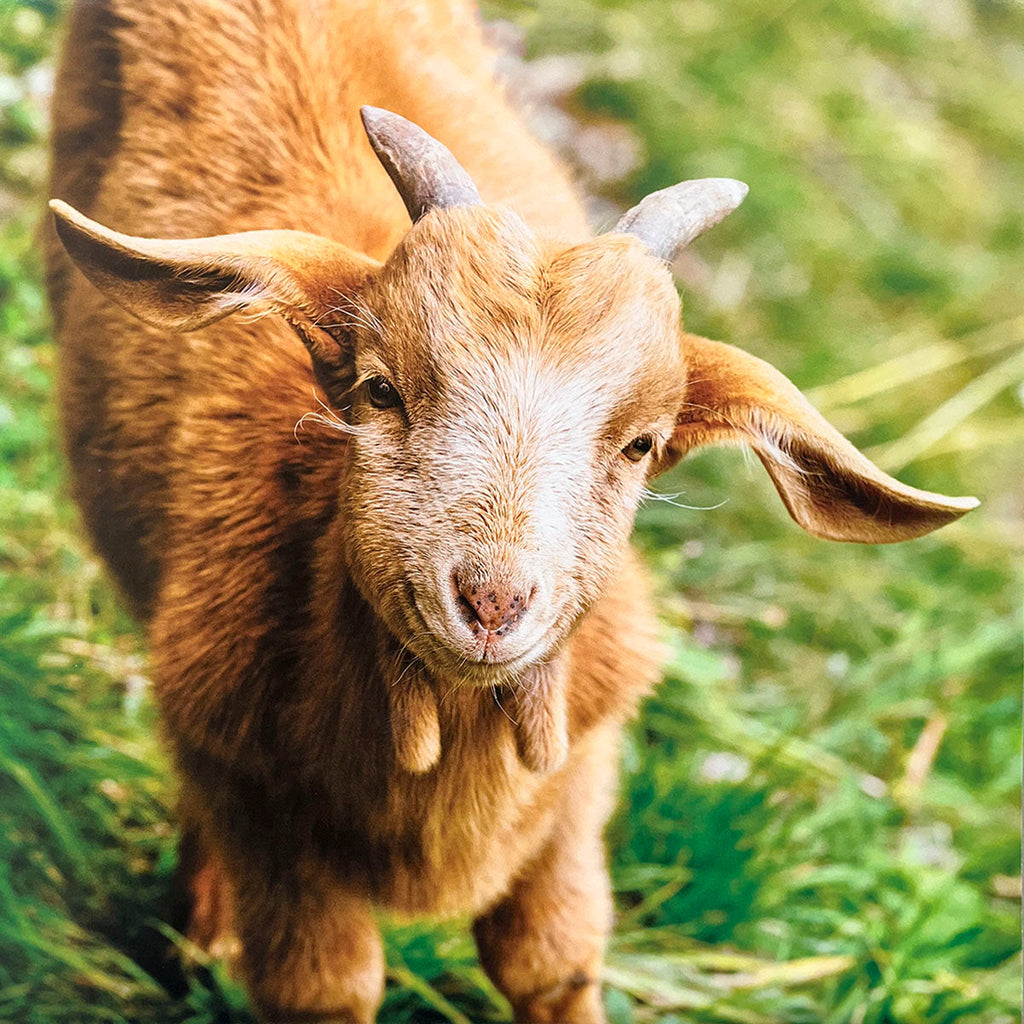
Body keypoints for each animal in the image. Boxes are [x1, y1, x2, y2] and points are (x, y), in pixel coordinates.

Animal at [45, 1, 977, 1021]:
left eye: (642, 444)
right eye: (379, 390)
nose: (492, 603)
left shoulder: (577, 786)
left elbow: (551, 960)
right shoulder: (259, 808)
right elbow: (323, 985)